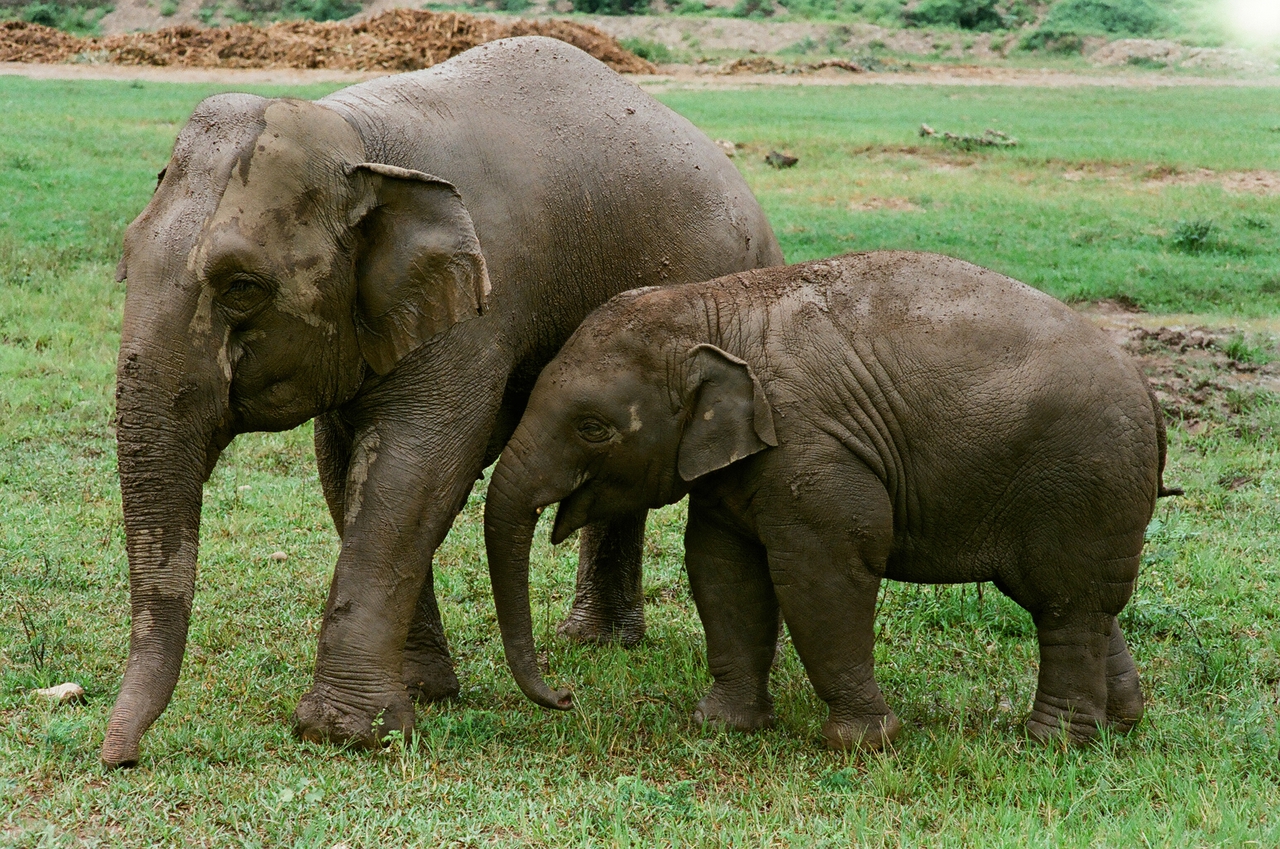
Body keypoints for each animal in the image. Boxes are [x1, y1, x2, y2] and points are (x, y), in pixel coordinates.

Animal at [110, 36, 783, 768]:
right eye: (125, 262)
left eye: (241, 287)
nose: (122, 757)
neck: (361, 140)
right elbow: (346, 467)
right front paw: (421, 693)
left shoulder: (482, 304)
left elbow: (416, 466)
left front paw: (347, 731)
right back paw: (594, 642)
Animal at [483, 250, 1172, 752]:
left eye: (591, 428)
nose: (565, 696)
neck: (712, 309)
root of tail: (1146, 384)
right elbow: (721, 568)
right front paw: (722, 727)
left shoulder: (811, 447)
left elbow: (823, 573)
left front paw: (861, 744)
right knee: (1085, 601)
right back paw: (1120, 724)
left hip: (1081, 477)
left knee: (1065, 605)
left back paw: (1052, 744)